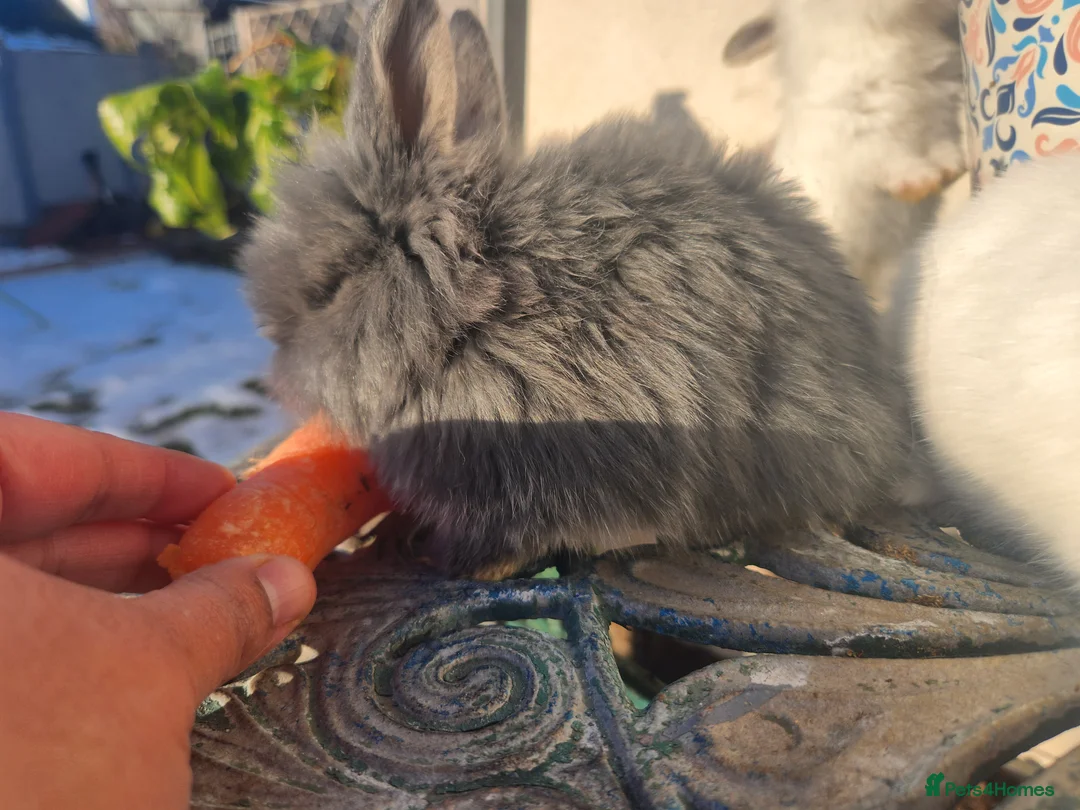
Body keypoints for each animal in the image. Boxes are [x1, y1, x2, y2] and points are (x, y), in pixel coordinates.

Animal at [724, 0, 968, 309]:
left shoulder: (941, 114)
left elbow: (944, 146)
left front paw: (952, 172)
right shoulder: (862, 140)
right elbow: (894, 163)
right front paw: (921, 185)